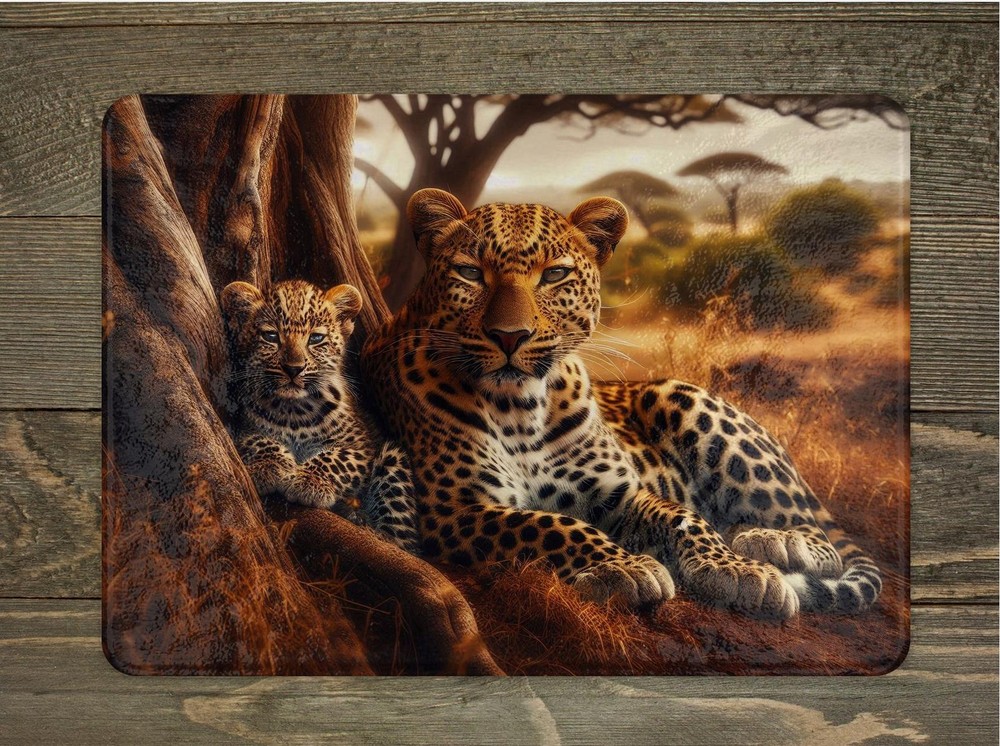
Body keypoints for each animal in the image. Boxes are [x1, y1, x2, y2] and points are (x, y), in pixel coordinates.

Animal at [221, 278, 419, 553]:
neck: (293, 410)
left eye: (316, 338)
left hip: (394, 458)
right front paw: (269, 467)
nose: (293, 369)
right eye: (271, 336)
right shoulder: (242, 428)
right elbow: (261, 440)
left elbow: (336, 458)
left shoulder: (362, 446)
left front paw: (308, 481)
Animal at [360, 187, 882, 618]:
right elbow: (550, 523)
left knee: (815, 530)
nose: (510, 336)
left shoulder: (623, 492)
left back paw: (772, 541)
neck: (521, 408)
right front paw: (626, 569)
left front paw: (736, 569)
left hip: (683, 398)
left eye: (554, 275)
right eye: (470, 273)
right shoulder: (456, 509)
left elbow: (683, 516)